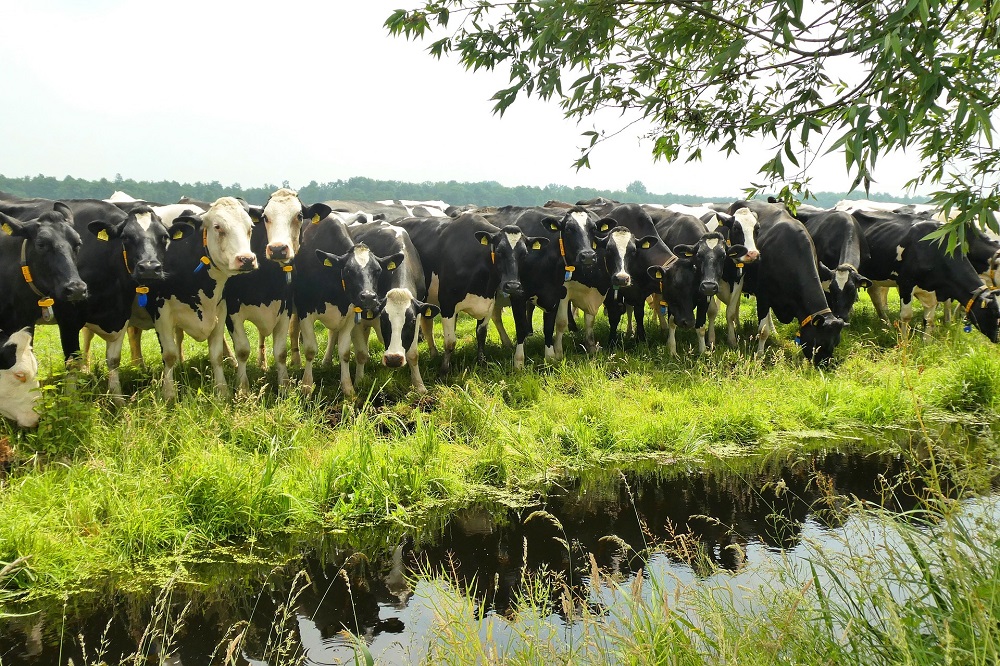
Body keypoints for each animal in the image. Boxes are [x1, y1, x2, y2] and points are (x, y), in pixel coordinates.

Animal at [146, 195, 262, 396]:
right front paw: (168, 393)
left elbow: (216, 355)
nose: (247, 259)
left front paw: (222, 390)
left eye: (250, 227)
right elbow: (168, 355)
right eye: (217, 226)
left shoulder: (220, 308)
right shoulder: (160, 310)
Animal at [223, 188, 332, 390]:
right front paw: (242, 388)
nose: (277, 249)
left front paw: (284, 385)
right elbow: (242, 350)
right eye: (266, 217)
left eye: (299, 216)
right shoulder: (231, 312)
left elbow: (280, 351)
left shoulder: (284, 310)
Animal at [348, 220, 438, 392]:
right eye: (383, 320)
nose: (394, 359)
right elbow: (361, 353)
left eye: (411, 321)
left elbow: (413, 354)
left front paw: (419, 386)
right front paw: (358, 382)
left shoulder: (418, 312)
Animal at [394, 211, 548, 370]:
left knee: (427, 324)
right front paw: (444, 369)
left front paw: (481, 362)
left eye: (524, 254)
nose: (512, 286)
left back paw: (434, 353)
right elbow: (450, 341)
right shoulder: (447, 303)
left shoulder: (488, 301)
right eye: (499, 251)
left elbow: (481, 333)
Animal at [728, 200, 844, 366]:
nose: (825, 366)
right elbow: (762, 331)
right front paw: (760, 355)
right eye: (819, 343)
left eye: (836, 343)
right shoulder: (763, 295)